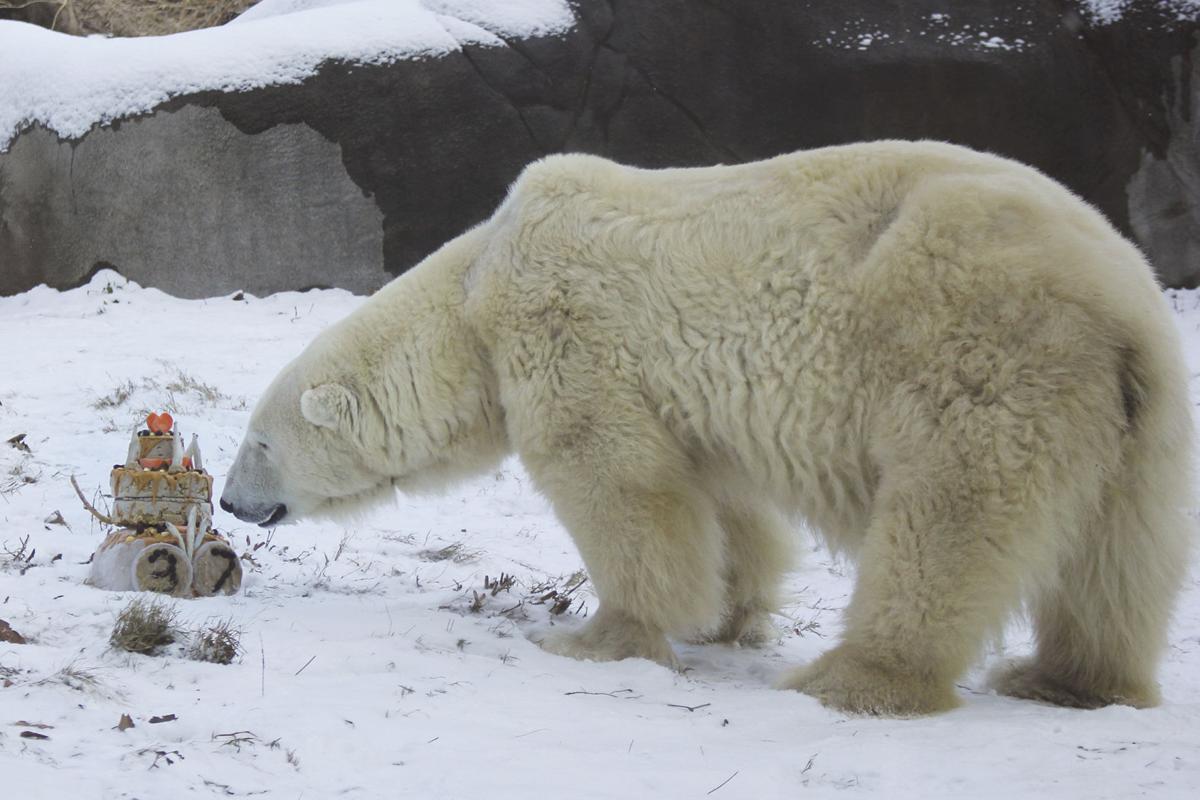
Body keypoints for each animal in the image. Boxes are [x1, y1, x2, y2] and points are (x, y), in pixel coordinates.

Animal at [221, 141, 1194, 716]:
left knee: (947, 522)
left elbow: (616, 482)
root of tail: (1121, 302)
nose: (230, 502)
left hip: (980, 357)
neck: (471, 294)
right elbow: (722, 503)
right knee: (1119, 555)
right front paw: (729, 616)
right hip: (1133, 416)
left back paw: (857, 678)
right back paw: (1067, 680)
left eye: (258, 442)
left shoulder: (568, 331)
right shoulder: (691, 401)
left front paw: (598, 636)